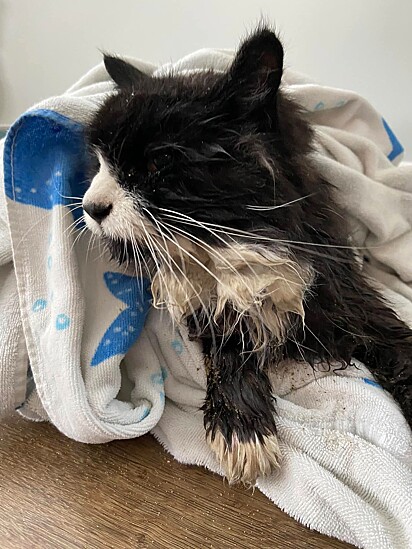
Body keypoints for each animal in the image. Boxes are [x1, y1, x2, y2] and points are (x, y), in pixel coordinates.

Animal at [83, 28, 412, 484]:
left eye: (158, 163)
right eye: (99, 163)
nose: (90, 207)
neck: (242, 243)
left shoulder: (349, 298)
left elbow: (403, 351)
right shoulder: (212, 307)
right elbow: (229, 353)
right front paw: (241, 427)